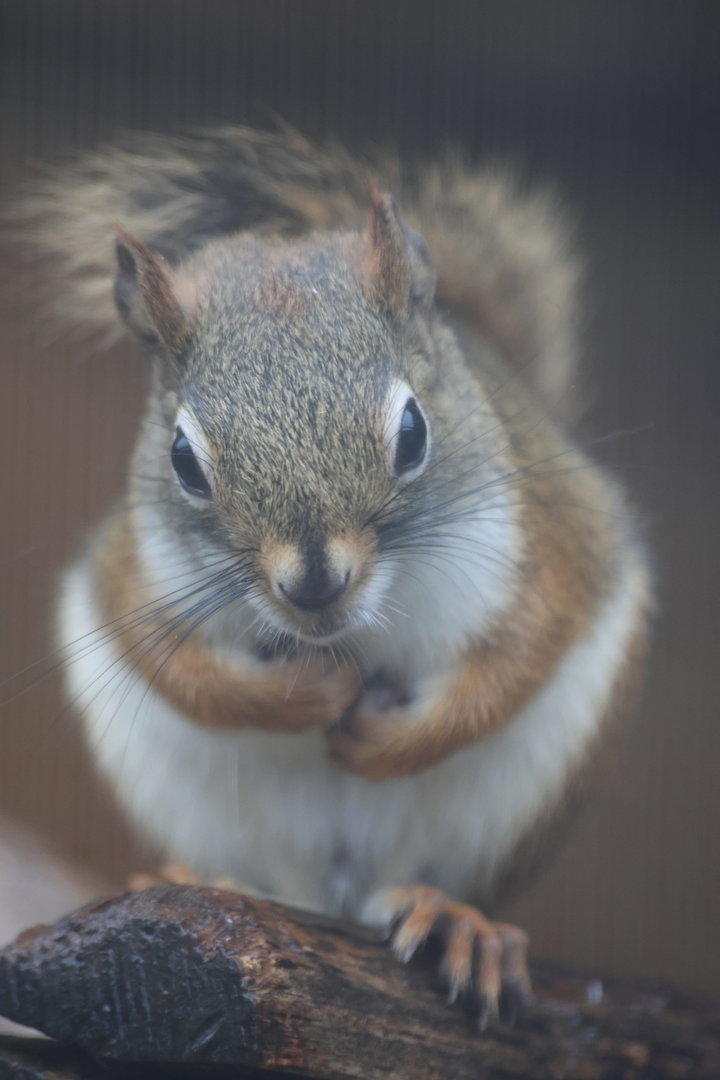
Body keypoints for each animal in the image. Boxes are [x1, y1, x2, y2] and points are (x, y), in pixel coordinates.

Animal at [17, 126, 651, 1026]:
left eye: (414, 430)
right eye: (182, 460)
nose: (315, 584)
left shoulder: (554, 535)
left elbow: (524, 650)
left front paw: (388, 739)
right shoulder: (135, 572)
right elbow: (183, 672)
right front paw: (305, 696)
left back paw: (458, 922)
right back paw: (195, 876)